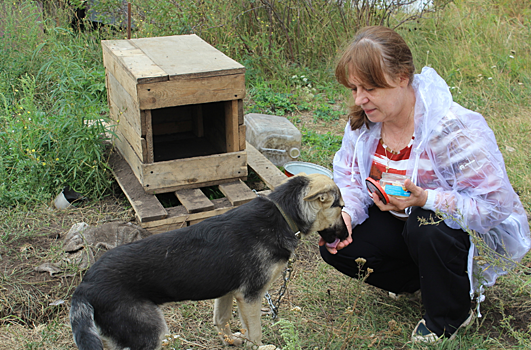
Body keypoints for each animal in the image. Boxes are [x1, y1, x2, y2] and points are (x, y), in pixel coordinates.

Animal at [69, 174, 350, 348]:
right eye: (341, 207)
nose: (348, 235)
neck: (282, 214)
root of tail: (85, 286)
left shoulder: (227, 292)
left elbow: (221, 320)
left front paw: (232, 342)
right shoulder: (250, 296)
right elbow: (256, 333)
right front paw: (260, 346)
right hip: (148, 332)